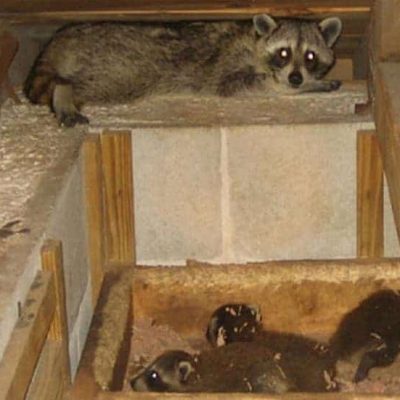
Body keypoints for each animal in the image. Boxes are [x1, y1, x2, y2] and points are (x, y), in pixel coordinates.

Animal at [25, 14, 342, 126]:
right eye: (284, 53)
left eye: (310, 56)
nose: (296, 78)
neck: (255, 39)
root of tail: (65, 34)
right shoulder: (230, 63)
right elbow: (240, 85)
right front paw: (306, 86)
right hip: (120, 64)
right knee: (95, 84)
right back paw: (65, 92)